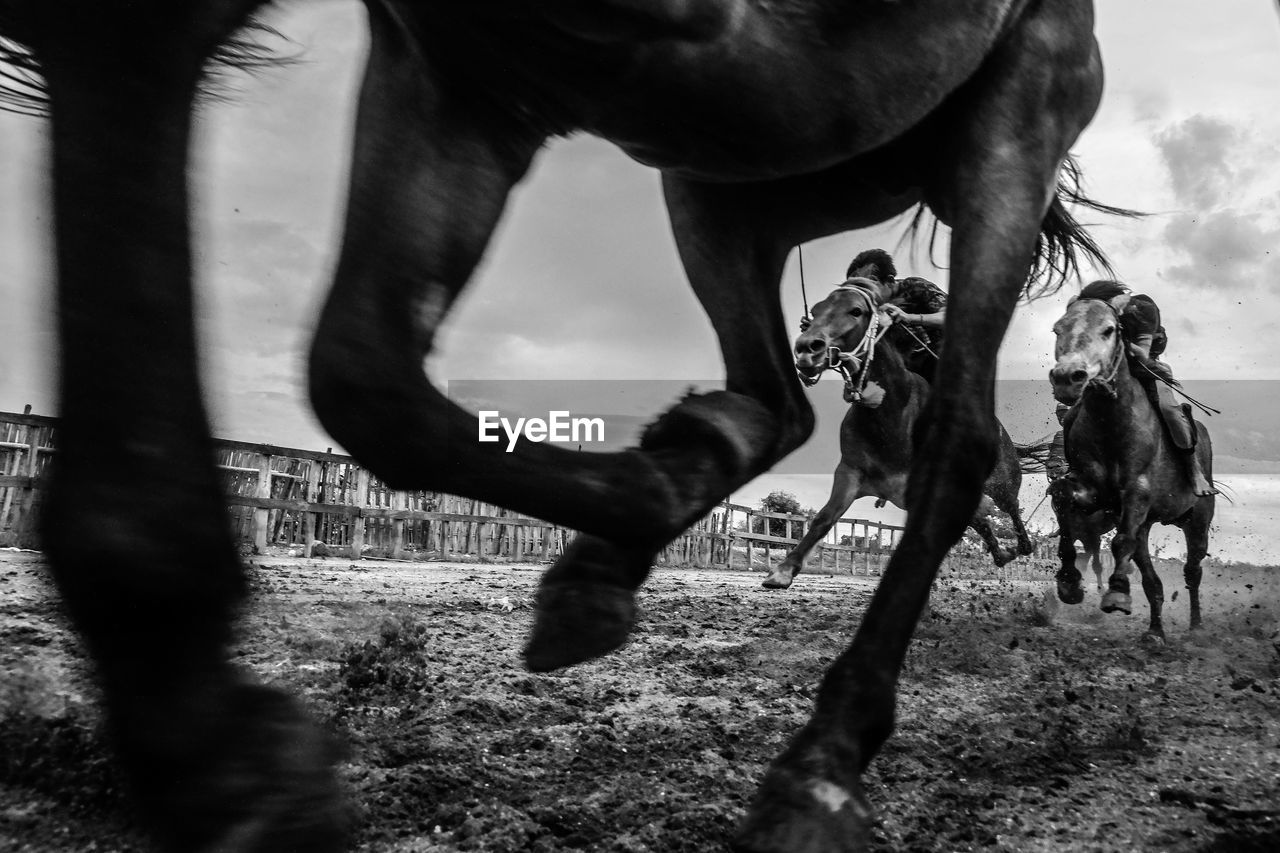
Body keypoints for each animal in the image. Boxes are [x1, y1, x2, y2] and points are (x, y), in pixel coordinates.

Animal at [762, 275, 1034, 589]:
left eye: (856, 310)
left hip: (1003, 485)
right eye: (815, 312)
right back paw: (1004, 555)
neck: (890, 417)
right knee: (984, 524)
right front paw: (783, 571)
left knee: (1013, 513)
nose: (808, 349)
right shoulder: (850, 472)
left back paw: (1022, 547)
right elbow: (824, 517)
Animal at [1044, 281, 1213, 635]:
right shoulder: (1089, 491)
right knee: (1153, 583)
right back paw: (1155, 632)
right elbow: (1067, 505)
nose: (1067, 377)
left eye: (1109, 330)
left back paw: (1195, 626)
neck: (1110, 423)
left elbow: (1121, 541)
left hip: (1198, 521)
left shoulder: (1138, 492)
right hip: (1149, 525)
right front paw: (1069, 582)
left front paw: (1118, 593)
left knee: (1192, 572)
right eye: (1057, 329)